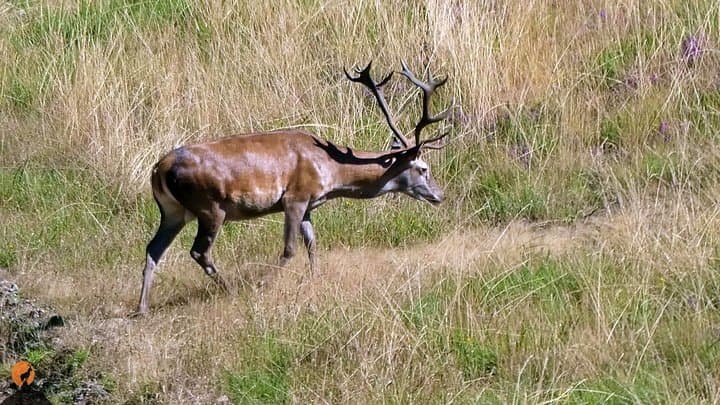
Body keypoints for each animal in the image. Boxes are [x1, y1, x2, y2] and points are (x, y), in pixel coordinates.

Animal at [137, 61, 451, 314]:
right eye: (423, 168)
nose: (440, 195)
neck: (331, 167)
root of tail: (160, 168)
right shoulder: (294, 197)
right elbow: (290, 248)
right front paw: (264, 284)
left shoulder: (309, 204)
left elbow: (312, 242)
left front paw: (315, 279)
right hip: (210, 206)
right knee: (199, 251)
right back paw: (231, 289)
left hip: (173, 211)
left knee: (153, 248)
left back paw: (142, 308)